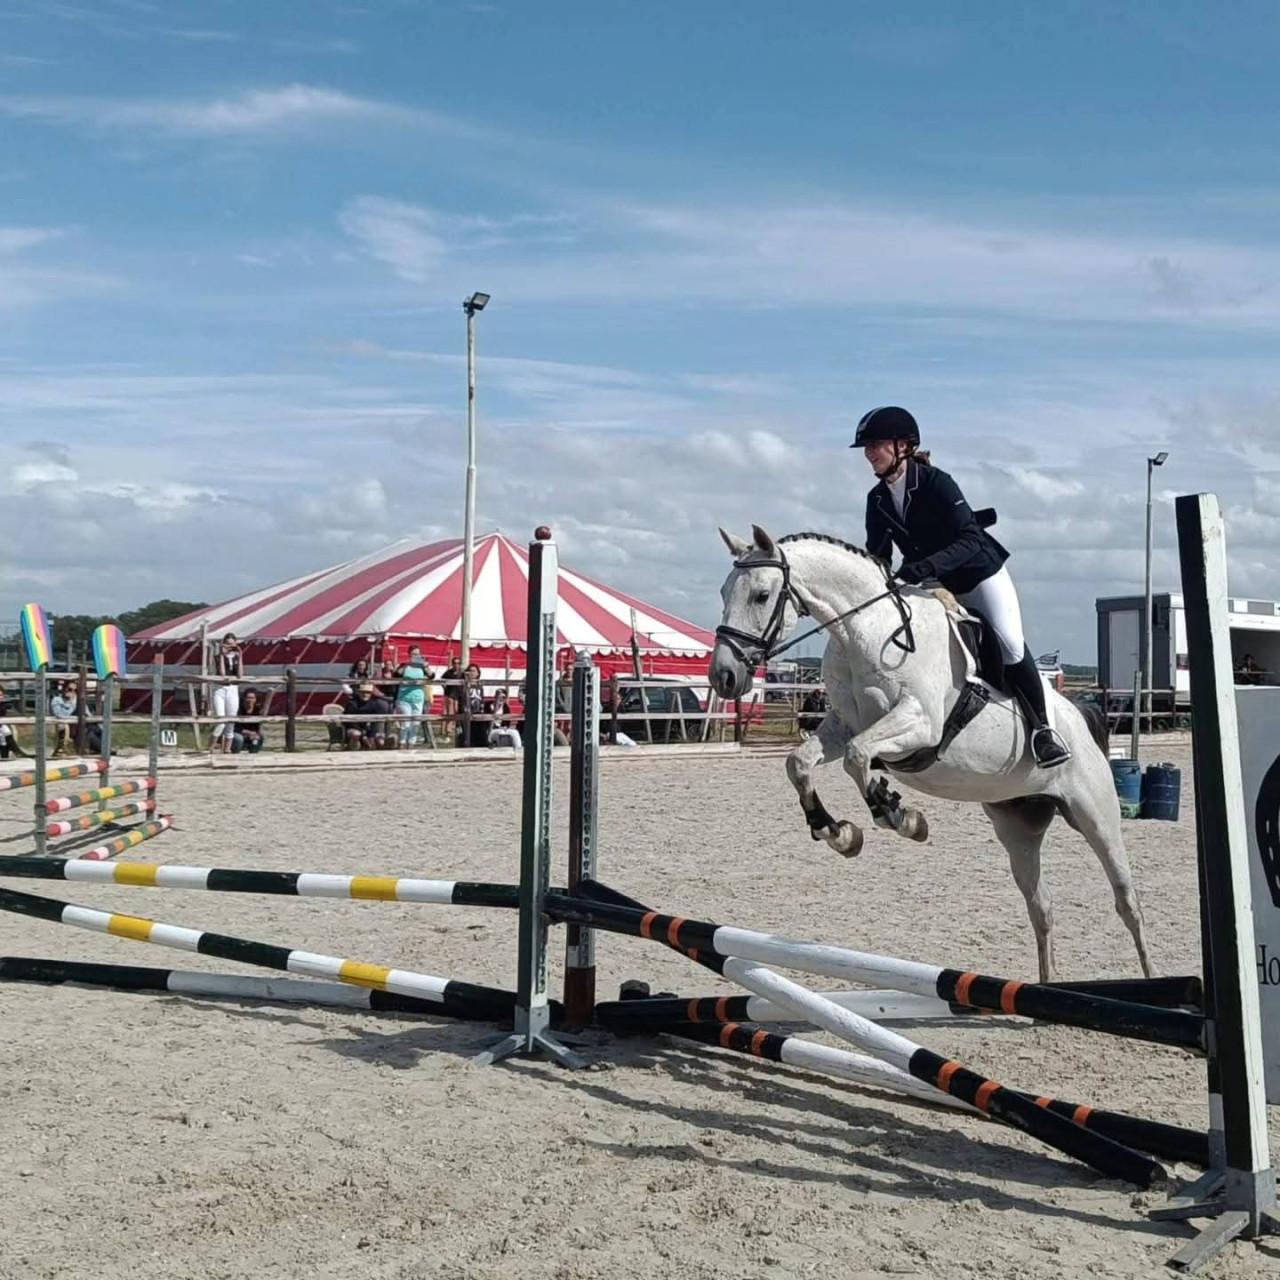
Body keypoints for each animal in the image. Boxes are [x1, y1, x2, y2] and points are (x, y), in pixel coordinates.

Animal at [709, 525, 1152, 983]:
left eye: (761, 595)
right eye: (724, 591)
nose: (724, 676)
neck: (865, 630)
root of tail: (1081, 717)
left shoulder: (920, 723)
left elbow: (857, 757)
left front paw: (899, 815)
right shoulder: (840, 727)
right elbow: (800, 763)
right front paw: (838, 833)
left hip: (1095, 815)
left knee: (1127, 902)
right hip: (1017, 828)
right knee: (1041, 908)